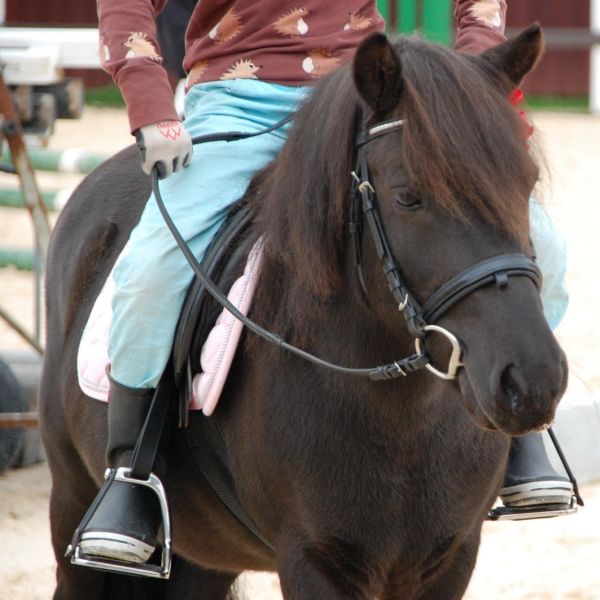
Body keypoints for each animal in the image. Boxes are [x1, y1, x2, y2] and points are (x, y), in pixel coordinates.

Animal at [40, 26, 568, 599]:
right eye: (407, 196)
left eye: (526, 183)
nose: (532, 380)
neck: (401, 414)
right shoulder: (314, 561)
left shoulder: (451, 558)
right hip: (72, 506)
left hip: (202, 560)